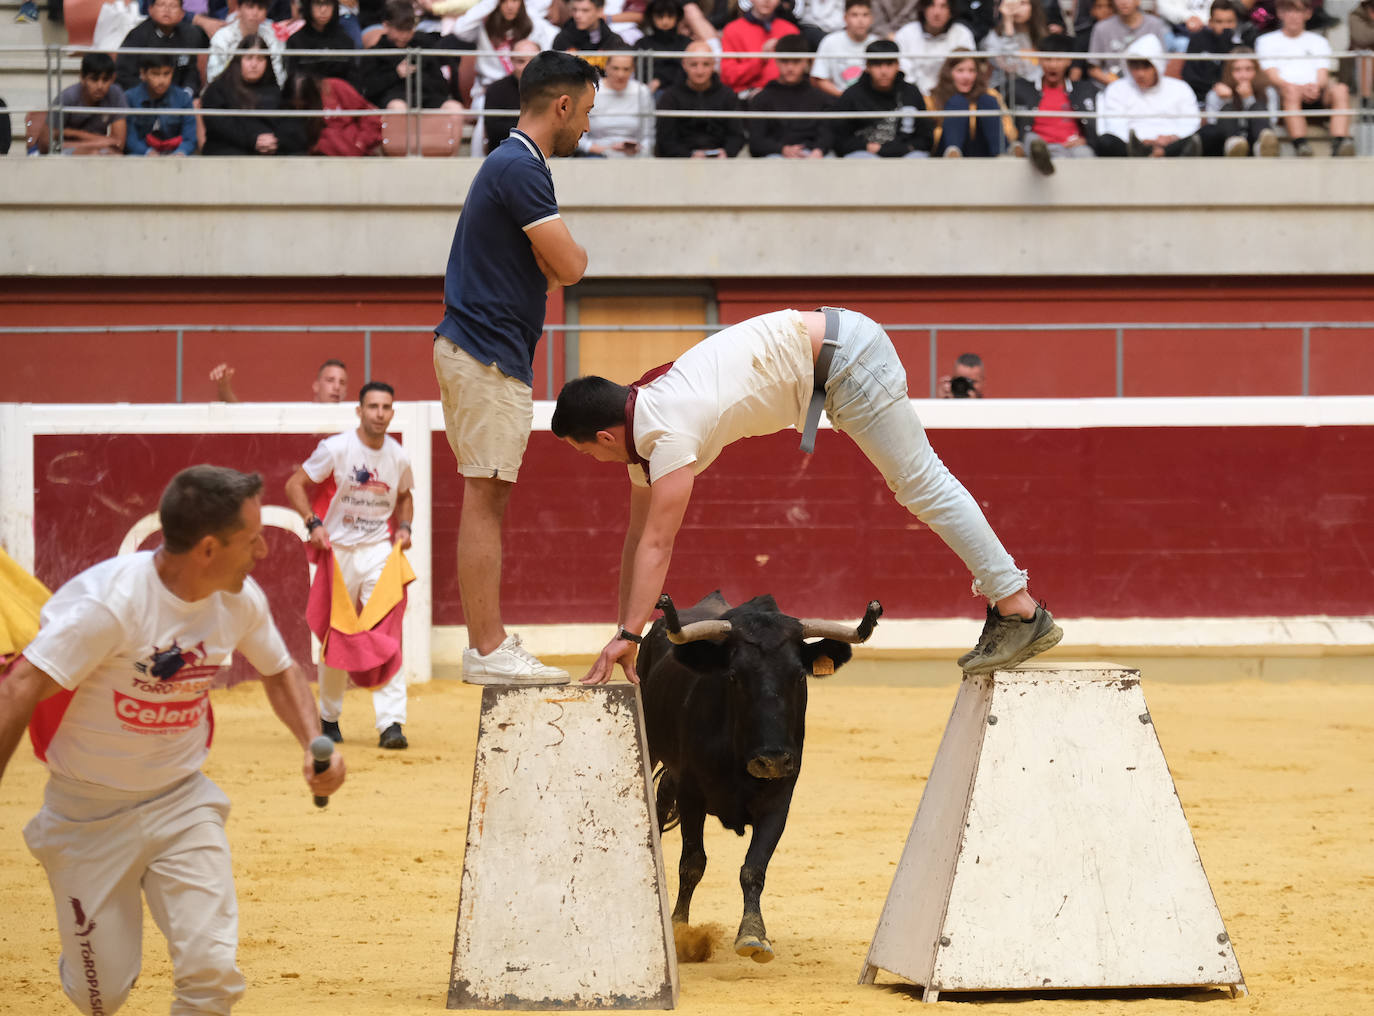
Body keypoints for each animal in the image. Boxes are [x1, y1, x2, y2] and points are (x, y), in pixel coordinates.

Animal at [640, 588, 884, 962]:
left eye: (799, 675)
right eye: (733, 676)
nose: (771, 761)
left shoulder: (779, 801)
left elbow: (753, 868)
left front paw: (753, 935)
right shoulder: (693, 795)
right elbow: (692, 863)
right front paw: (680, 931)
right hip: (651, 739)